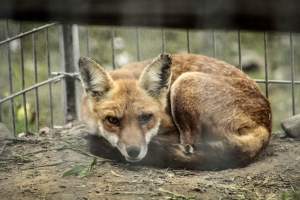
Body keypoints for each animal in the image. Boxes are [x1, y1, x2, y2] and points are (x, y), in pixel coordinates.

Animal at [78, 52, 272, 169]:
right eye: (112, 120)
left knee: (191, 145)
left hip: (185, 83)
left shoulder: (171, 128)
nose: (134, 151)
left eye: (146, 118)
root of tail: (267, 124)